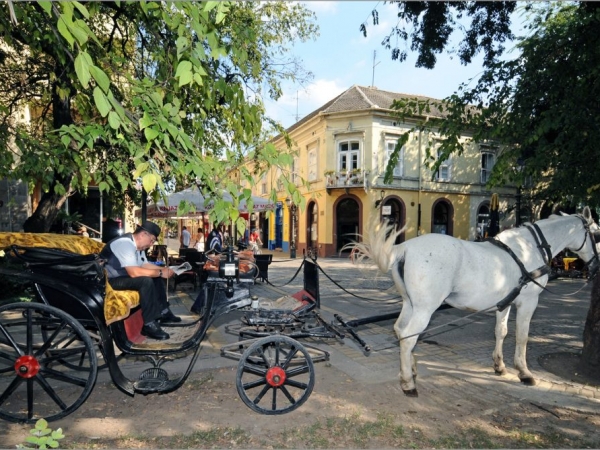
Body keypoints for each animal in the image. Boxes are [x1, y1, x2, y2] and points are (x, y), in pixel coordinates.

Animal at [352, 206, 600, 396]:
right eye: (597, 235)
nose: (596, 267)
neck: (530, 248)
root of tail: (405, 248)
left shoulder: (505, 302)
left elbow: (501, 332)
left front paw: (499, 365)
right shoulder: (528, 302)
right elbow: (522, 336)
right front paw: (524, 372)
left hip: (410, 304)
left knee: (400, 330)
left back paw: (410, 370)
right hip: (425, 309)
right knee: (408, 337)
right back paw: (408, 383)